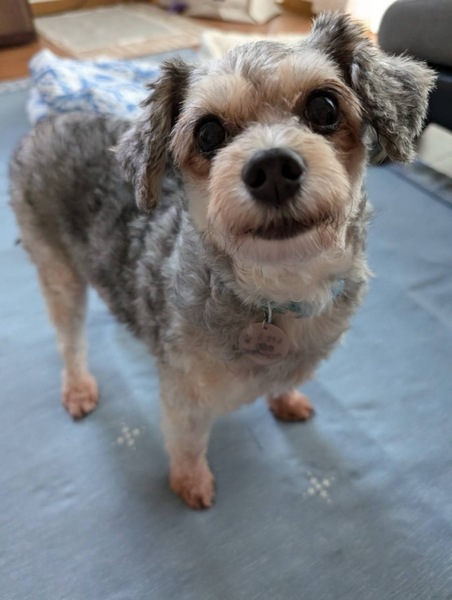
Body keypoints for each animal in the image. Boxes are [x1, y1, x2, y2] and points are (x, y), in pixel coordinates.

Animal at [10, 13, 435, 509]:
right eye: (208, 133)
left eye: (325, 107)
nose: (272, 168)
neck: (277, 290)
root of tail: (47, 123)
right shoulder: (184, 394)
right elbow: (188, 443)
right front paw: (192, 483)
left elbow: (284, 384)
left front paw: (285, 398)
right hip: (56, 270)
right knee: (70, 341)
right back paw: (78, 387)